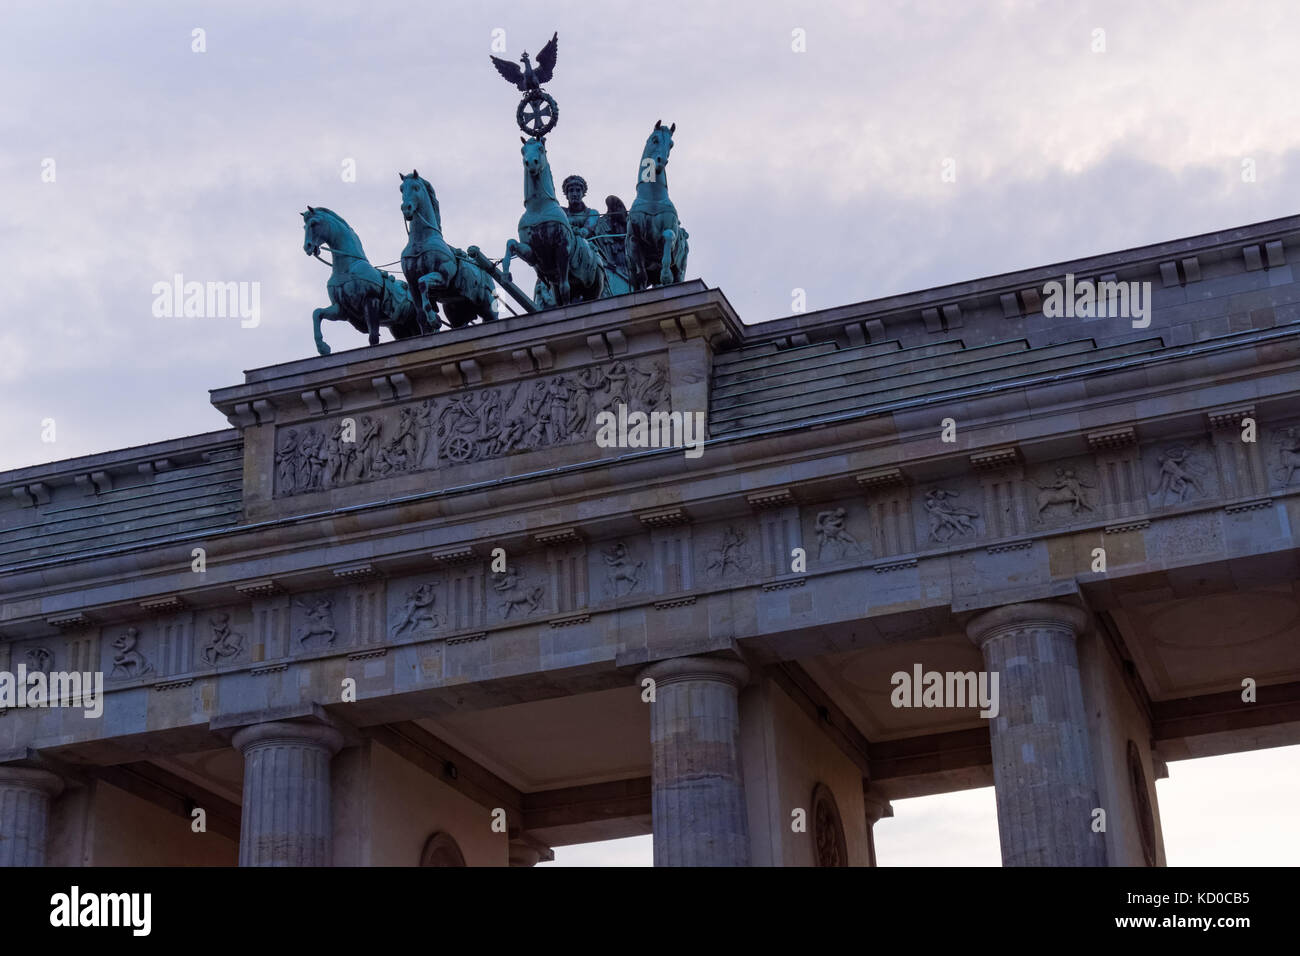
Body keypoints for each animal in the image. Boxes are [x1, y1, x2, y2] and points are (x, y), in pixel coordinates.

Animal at [300, 208, 423, 356]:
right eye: (304, 227)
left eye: (314, 223)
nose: (307, 247)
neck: (348, 267)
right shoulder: (341, 309)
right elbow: (317, 313)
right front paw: (323, 347)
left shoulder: (371, 300)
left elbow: (373, 338)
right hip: (401, 326)